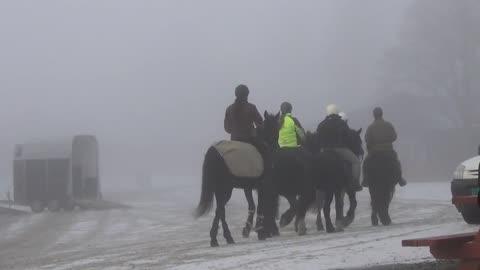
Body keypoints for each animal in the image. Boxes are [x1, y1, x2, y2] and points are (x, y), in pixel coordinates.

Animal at [194, 110, 278, 246]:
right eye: (276, 129)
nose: (276, 146)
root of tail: (213, 151)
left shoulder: (247, 187)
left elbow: (252, 206)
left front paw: (247, 230)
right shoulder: (262, 186)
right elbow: (260, 207)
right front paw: (260, 232)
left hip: (219, 188)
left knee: (220, 210)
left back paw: (220, 238)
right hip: (225, 188)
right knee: (220, 210)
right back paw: (222, 238)